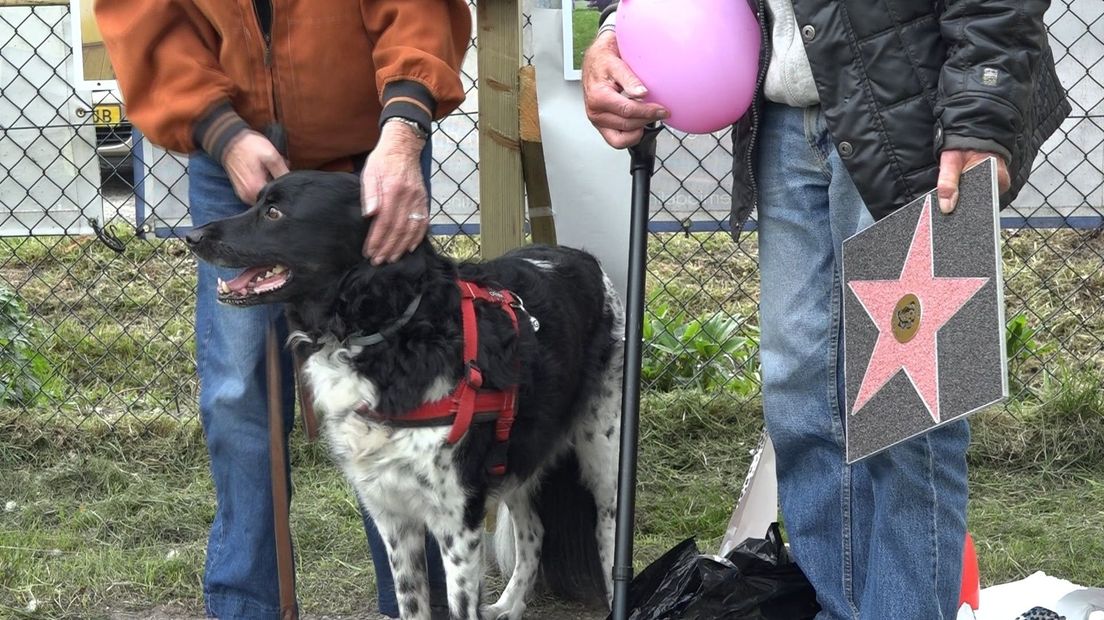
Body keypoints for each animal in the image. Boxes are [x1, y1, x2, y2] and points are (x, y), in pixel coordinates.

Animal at [185, 169, 627, 617]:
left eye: (274, 212)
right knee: (534, 531)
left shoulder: (458, 521)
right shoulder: (391, 515)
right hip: (517, 456)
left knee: (608, 534)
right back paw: (510, 604)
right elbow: (411, 603)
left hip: (603, 453)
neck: (389, 337)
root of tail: (581, 257)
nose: (191, 235)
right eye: (257, 202)